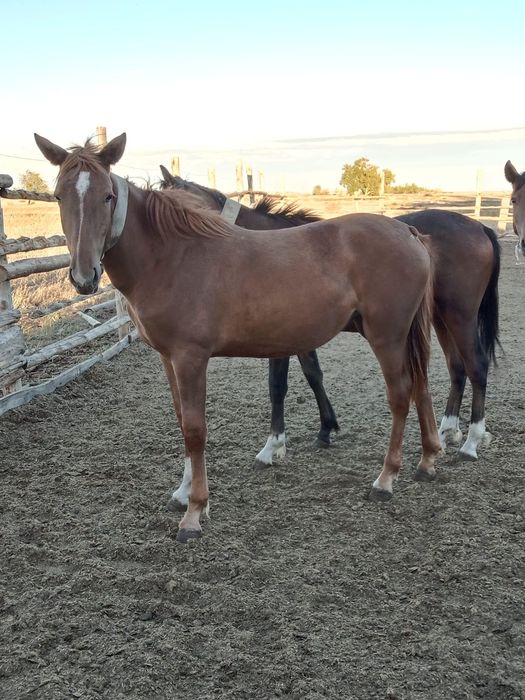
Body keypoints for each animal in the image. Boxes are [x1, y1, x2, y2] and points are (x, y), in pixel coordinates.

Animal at [35, 132, 442, 543]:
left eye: (107, 196)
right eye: (58, 196)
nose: (84, 276)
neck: (171, 257)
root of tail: (407, 231)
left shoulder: (191, 358)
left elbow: (196, 429)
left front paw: (195, 512)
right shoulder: (169, 358)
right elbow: (182, 421)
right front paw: (183, 493)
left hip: (387, 336)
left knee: (400, 395)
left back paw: (386, 479)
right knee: (419, 385)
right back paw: (426, 461)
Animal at [159, 168, 500, 476]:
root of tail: (479, 227)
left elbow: (277, 386)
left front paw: (274, 446)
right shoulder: (297, 334)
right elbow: (313, 374)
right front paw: (326, 429)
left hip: (460, 316)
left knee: (476, 366)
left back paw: (472, 440)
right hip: (441, 319)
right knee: (457, 369)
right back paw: (448, 430)